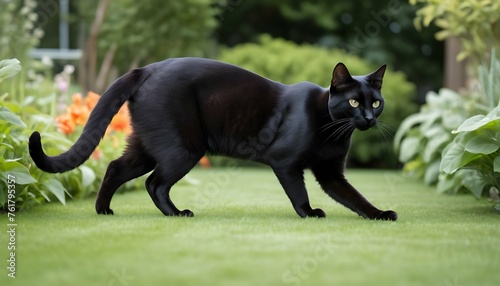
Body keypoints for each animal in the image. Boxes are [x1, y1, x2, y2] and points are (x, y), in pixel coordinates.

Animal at [29, 57, 398, 220]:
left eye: (375, 102)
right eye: (354, 102)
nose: (368, 119)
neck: (334, 130)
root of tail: (146, 68)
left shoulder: (332, 173)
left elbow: (355, 197)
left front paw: (380, 214)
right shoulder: (286, 162)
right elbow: (299, 192)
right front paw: (309, 213)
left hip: (148, 145)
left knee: (115, 169)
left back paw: (104, 210)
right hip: (184, 148)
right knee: (153, 183)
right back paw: (177, 213)